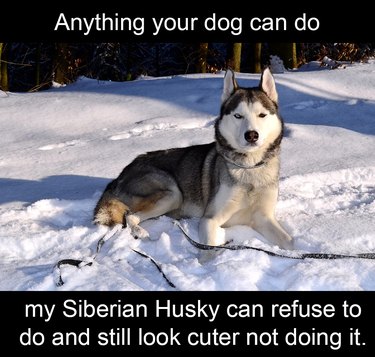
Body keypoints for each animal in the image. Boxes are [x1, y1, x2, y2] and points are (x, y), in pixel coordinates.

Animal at [94, 68, 294, 249]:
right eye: (238, 116)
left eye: (262, 115)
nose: (251, 135)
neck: (249, 168)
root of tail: (119, 176)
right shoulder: (210, 219)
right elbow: (211, 248)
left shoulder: (263, 218)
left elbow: (290, 242)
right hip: (172, 193)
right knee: (130, 216)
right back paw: (139, 232)